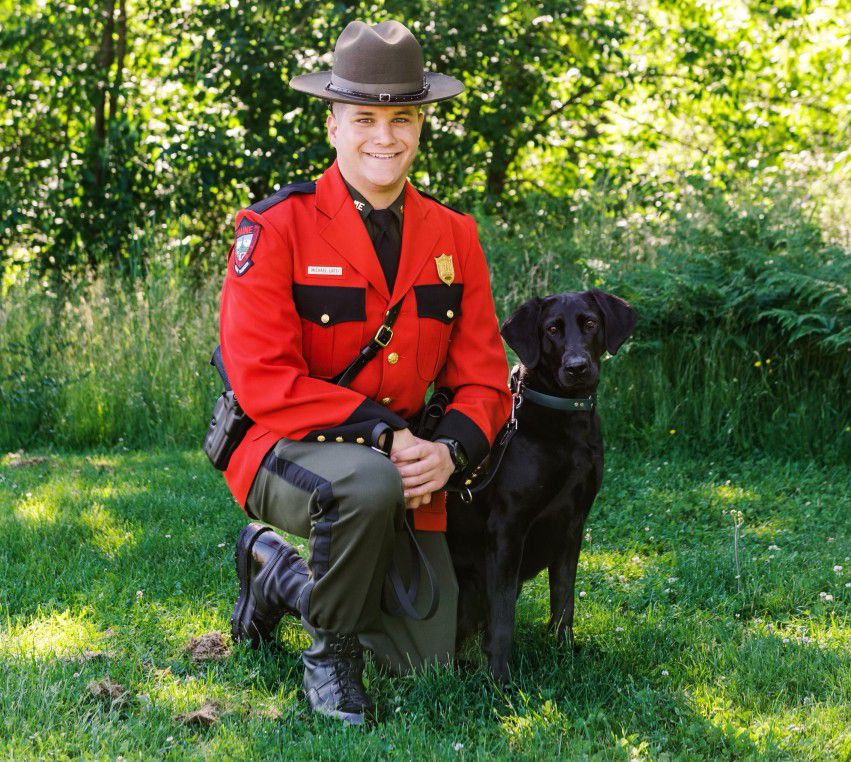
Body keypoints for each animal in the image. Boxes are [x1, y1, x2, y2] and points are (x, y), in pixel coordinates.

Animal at [450, 288, 636, 680]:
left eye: (590, 323)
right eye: (552, 329)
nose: (577, 366)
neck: (566, 419)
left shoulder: (573, 523)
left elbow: (563, 599)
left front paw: (564, 652)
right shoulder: (507, 527)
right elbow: (503, 615)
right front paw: (499, 679)